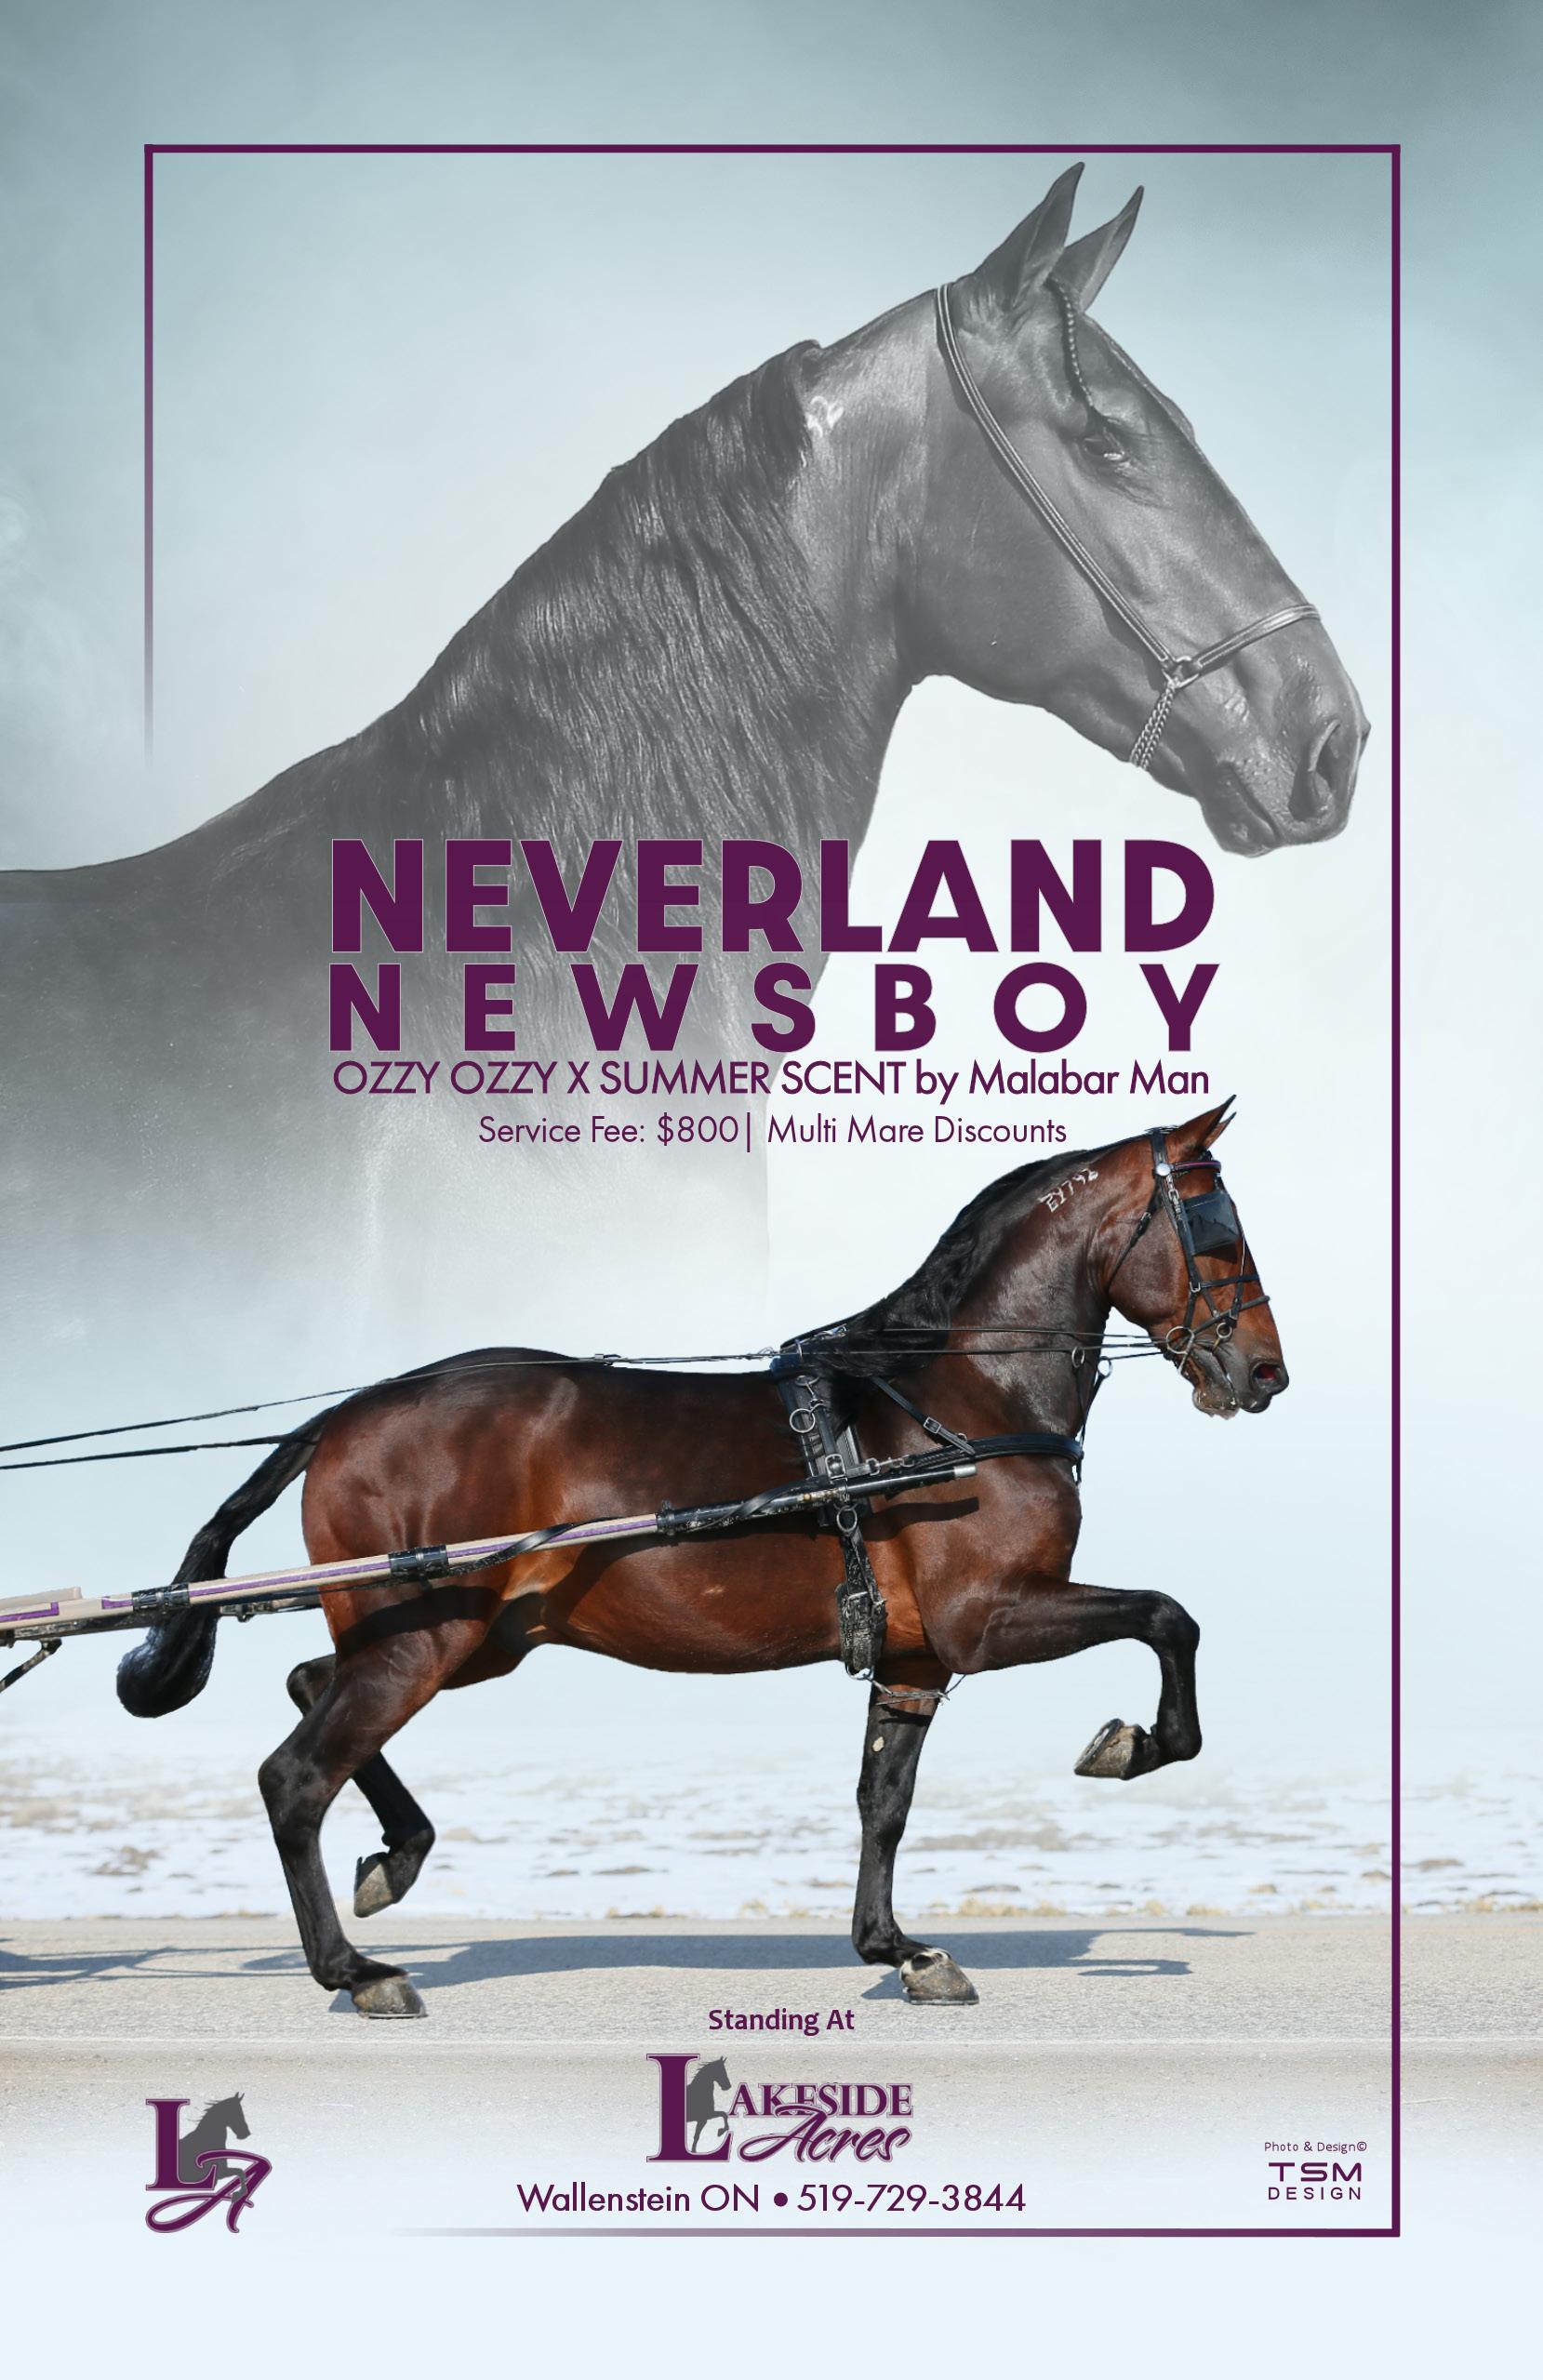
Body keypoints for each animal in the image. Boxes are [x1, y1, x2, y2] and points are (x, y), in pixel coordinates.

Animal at [117, 1098, 1288, 2016]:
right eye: (1217, 1232)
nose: (1266, 1372)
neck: (957, 1401)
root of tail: (348, 1415)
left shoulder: (916, 1657)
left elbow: (884, 1802)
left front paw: (898, 1949)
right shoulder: (988, 1616)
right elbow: (1168, 1615)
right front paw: (1133, 1743)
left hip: (469, 1634)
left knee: (311, 1683)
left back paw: (395, 1859)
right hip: (430, 1634)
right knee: (296, 1775)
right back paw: (355, 1970)